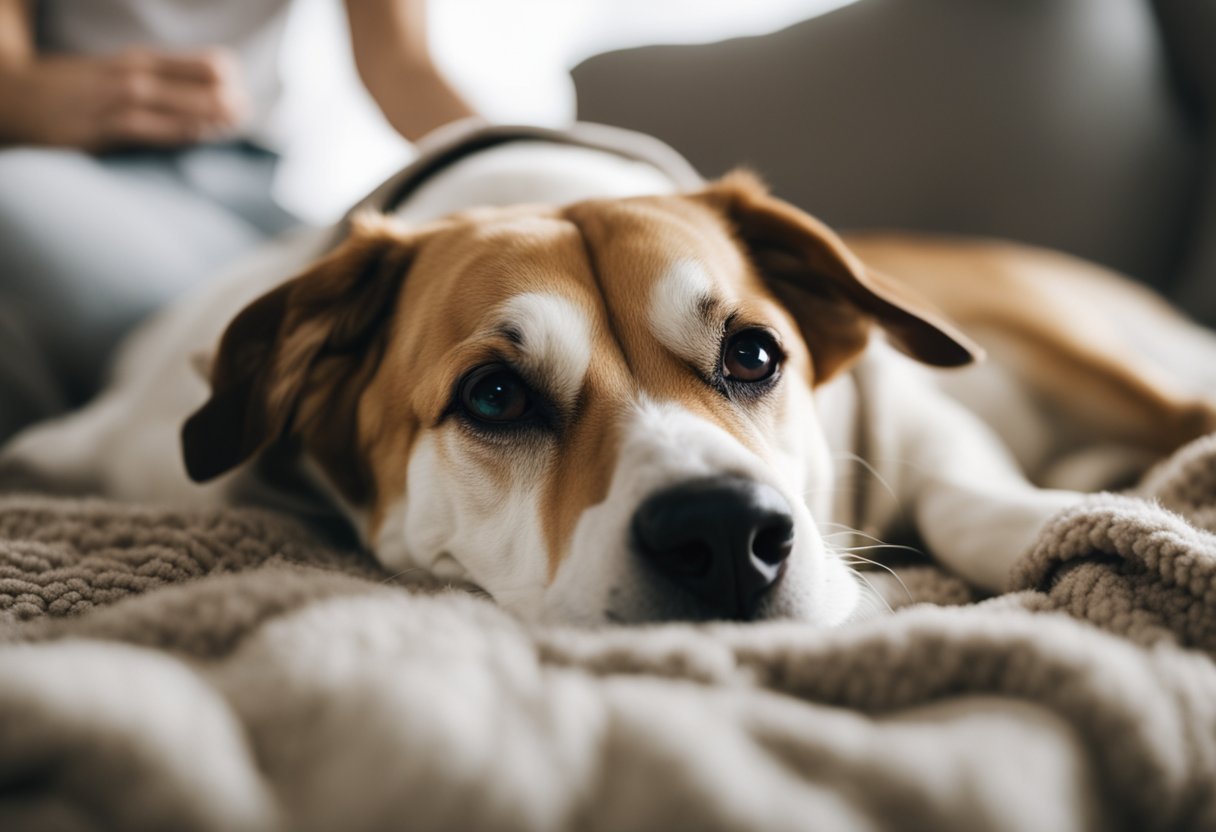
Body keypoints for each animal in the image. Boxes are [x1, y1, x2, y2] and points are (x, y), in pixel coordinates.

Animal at [4, 120, 1211, 620]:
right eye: (495, 395)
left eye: (755, 354)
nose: (725, 532)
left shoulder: (915, 409)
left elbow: (969, 491)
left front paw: (1060, 519)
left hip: (1088, 353)